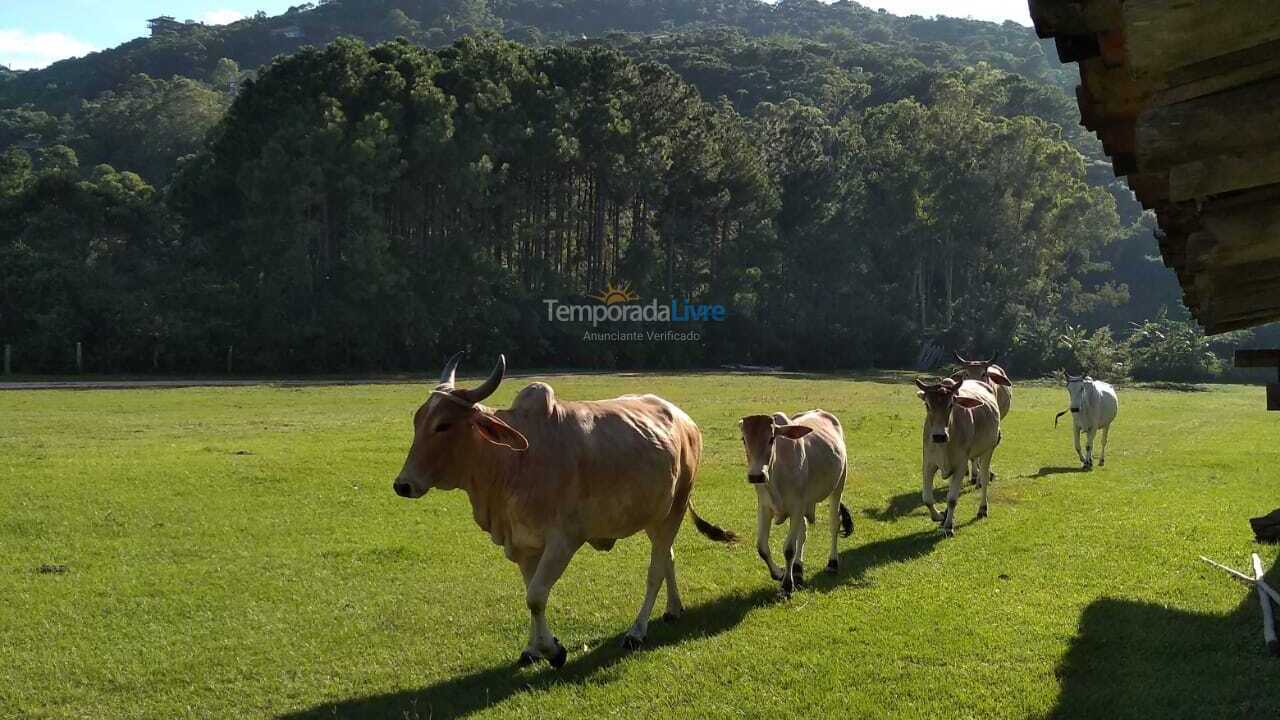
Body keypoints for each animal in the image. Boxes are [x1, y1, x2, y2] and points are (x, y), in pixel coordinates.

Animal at [389, 353, 737, 666]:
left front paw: (554, 651)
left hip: (674, 509)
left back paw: (637, 631)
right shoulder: (523, 545)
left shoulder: (564, 540)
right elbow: (531, 594)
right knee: (668, 558)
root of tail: (686, 421)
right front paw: (534, 649)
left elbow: (536, 596)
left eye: (443, 425)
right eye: (417, 421)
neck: (513, 461)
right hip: (656, 515)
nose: (402, 485)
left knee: (655, 570)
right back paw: (673, 609)